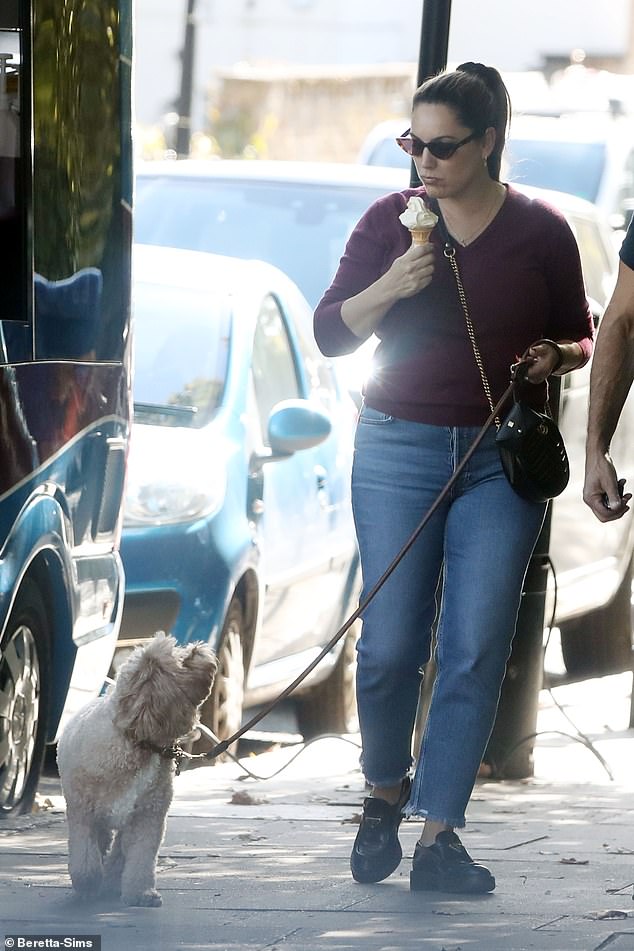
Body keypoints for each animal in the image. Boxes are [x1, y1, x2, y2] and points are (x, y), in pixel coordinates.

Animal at [59, 632, 217, 908]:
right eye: (180, 659)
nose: (200, 648)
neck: (132, 740)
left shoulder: (147, 817)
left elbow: (141, 859)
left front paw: (140, 893)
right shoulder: (84, 814)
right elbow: (85, 857)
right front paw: (87, 885)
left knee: (119, 853)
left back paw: (112, 882)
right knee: (101, 846)